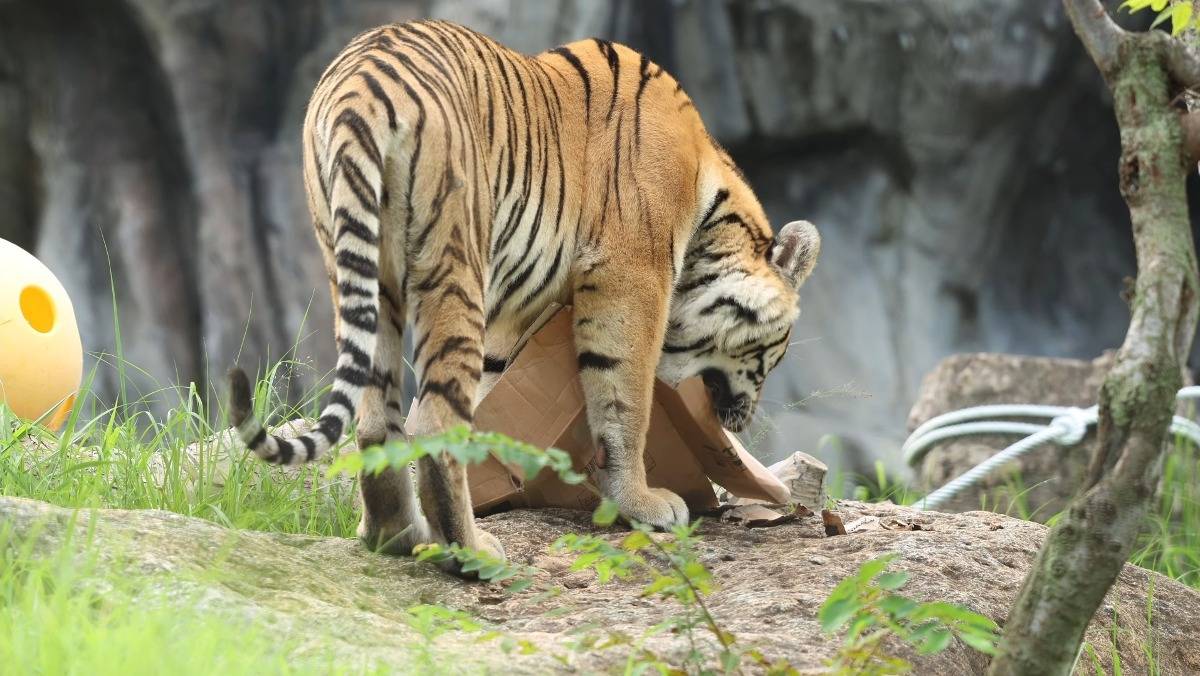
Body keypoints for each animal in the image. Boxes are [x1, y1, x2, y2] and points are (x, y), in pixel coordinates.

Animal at [225, 18, 820, 571]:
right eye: (774, 353)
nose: (740, 422)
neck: (709, 210)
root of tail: (358, 85)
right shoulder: (630, 278)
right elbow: (624, 401)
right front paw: (644, 504)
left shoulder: (515, 315)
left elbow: (499, 389)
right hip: (454, 262)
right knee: (436, 423)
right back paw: (470, 553)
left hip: (365, 270)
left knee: (378, 420)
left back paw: (397, 536)